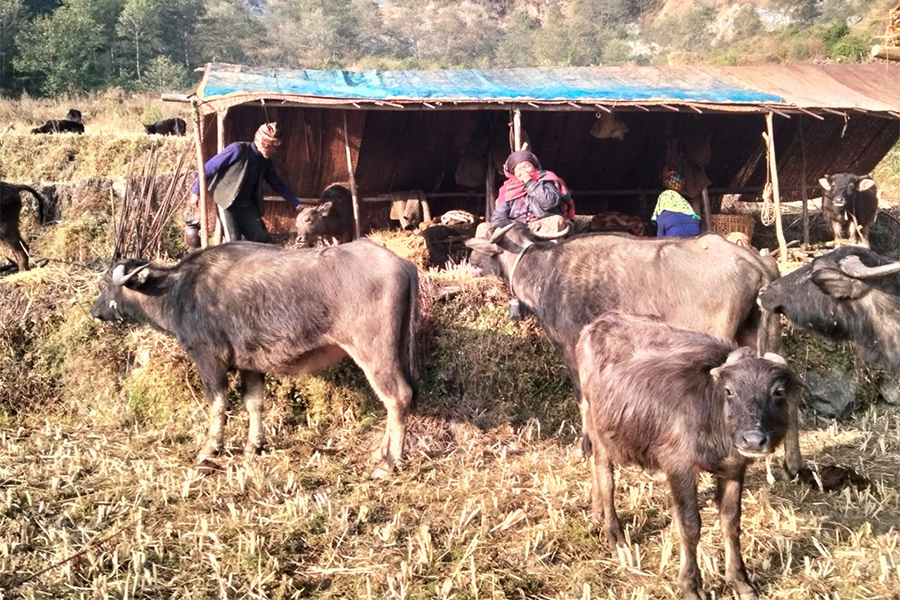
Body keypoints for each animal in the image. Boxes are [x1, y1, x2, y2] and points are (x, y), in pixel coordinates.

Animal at [91, 240, 418, 478]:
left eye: (108, 283)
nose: (95, 310)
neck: (178, 291)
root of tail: (403, 265)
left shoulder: (209, 359)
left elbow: (218, 405)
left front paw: (209, 450)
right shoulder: (250, 366)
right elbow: (254, 403)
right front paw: (253, 446)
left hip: (374, 353)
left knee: (397, 397)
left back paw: (389, 463)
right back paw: (381, 453)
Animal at [468, 223, 804, 476]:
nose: (470, 259)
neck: (545, 271)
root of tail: (751, 260)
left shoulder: (572, 350)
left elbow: (583, 400)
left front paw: (586, 446)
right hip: (765, 337)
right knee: (788, 391)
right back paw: (793, 465)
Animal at [576, 312, 796, 600]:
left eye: (778, 392)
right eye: (729, 391)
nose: (752, 439)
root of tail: (597, 324)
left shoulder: (734, 469)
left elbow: (731, 522)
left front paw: (740, 581)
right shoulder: (679, 467)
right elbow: (690, 525)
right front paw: (691, 586)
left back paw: (597, 513)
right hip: (598, 427)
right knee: (604, 473)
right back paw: (615, 534)